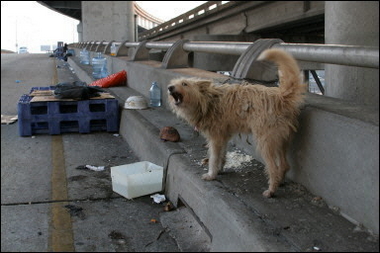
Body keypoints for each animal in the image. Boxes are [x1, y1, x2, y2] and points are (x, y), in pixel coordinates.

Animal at [166, 48, 306, 198]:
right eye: (174, 83)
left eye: (184, 83)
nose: (170, 87)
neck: (207, 101)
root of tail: (281, 96)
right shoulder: (223, 136)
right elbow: (222, 155)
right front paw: (220, 169)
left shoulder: (215, 138)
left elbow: (213, 158)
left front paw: (211, 175)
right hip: (281, 140)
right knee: (285, 165)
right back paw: (280, 181)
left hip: (265, 142)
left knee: (273, 168)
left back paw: (271, 190)